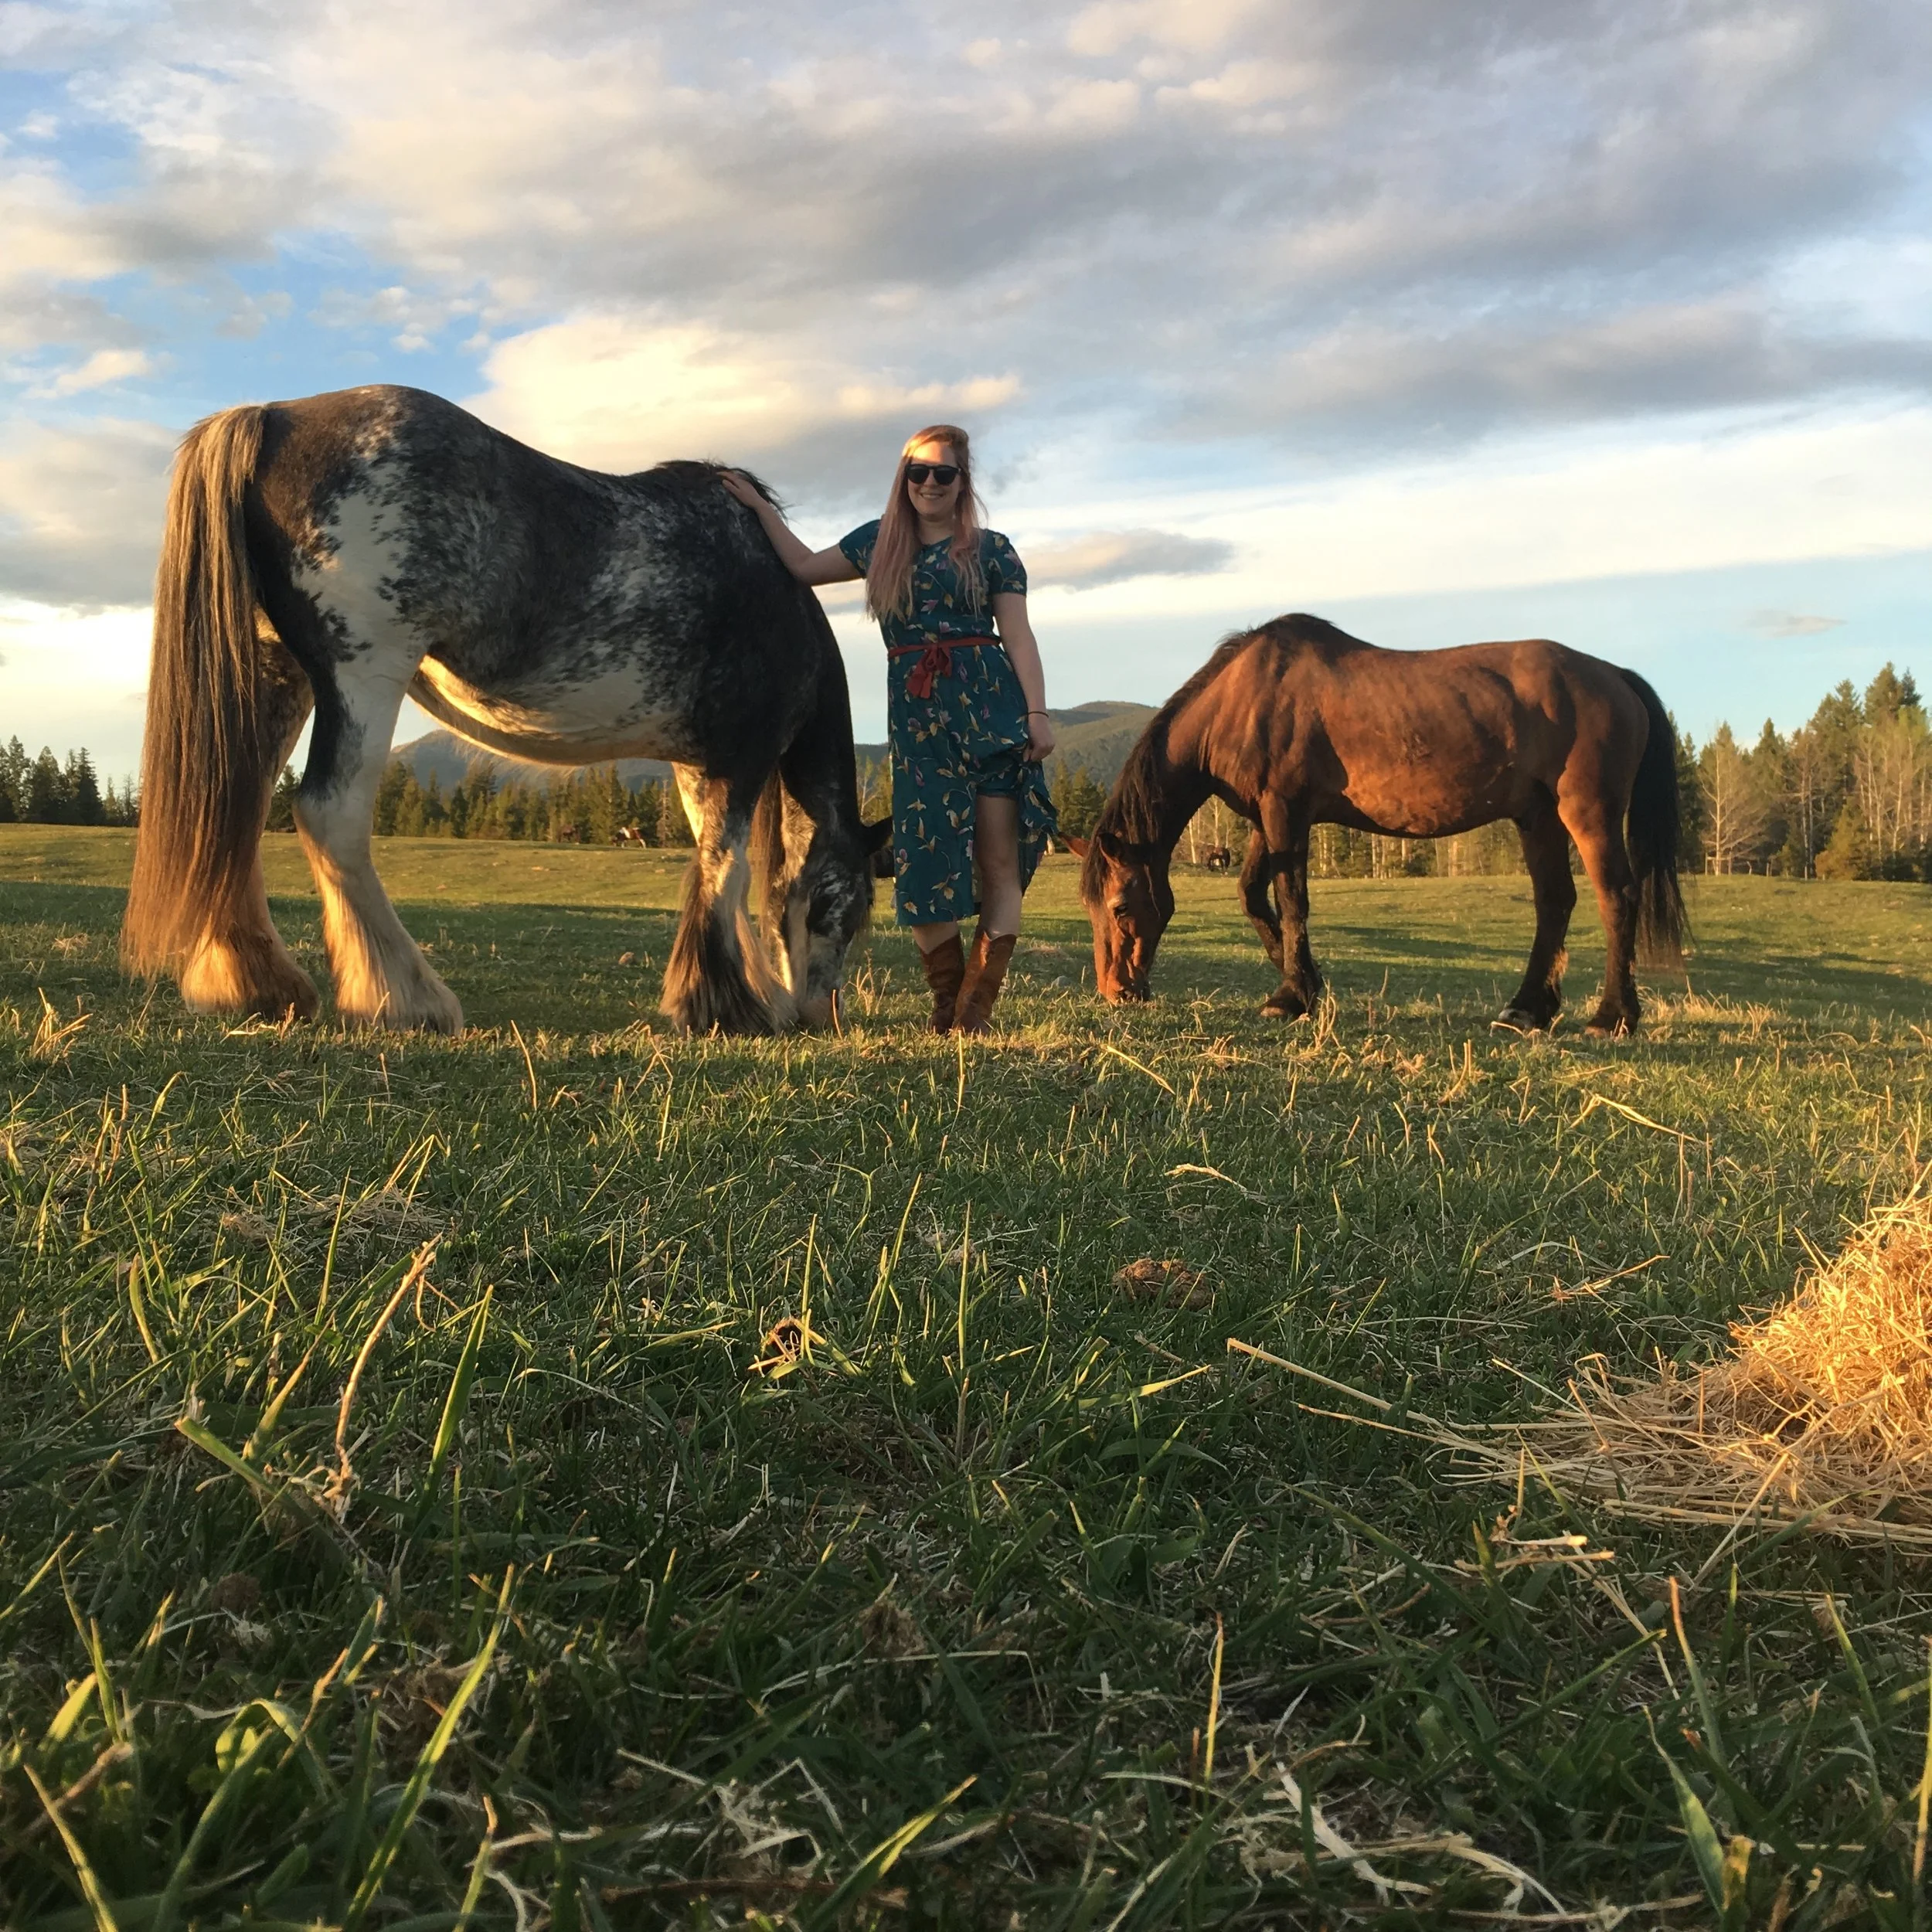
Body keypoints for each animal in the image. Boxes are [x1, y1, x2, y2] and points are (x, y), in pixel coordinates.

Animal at [122, 384, 886, 1037]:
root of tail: (274, 416)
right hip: (365, 674)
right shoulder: (738, 757)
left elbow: (711, 865)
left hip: (278, 675)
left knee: (239, 813)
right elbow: (727, 870)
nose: (822, 1014)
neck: (772, 588)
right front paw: (730, 1006)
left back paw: (259, 987)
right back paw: (407, 1001)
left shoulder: (698, 764)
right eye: (851, 911)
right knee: (329, 816)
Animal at [1071, 614, 1687, 1037]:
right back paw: (1528, 1009)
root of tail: (1616, 676)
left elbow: (1291, 899)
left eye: (1121, 908)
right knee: (1555, 901)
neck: (1241, 701)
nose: (1116, 992)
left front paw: (1292, 995)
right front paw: (1302, 979)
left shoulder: (1285, 811)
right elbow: (1253, 896)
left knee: (1618, 897)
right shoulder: (1265, 821)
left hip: (1588, 813)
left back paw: (1613, 1017)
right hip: (1538, 818)